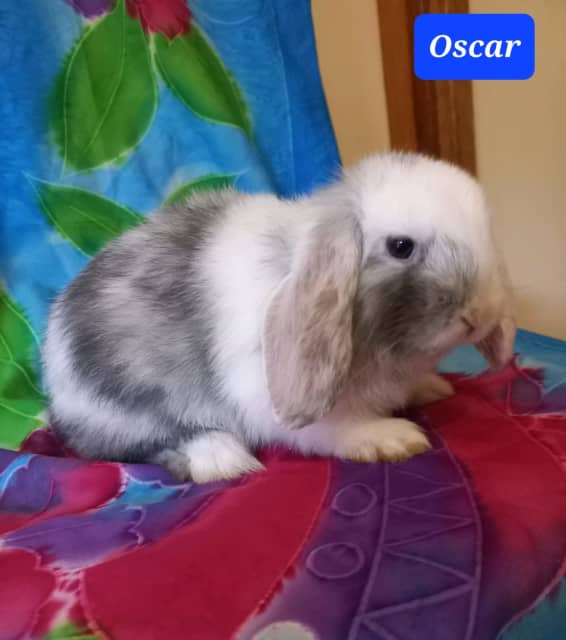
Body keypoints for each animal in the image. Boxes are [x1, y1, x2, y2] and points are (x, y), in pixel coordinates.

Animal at [43, 152, 516, 483]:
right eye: (401, 246)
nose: (479, 315)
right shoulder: (276, 397)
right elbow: (336, 429)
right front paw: (391, 438)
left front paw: (431, 387)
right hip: (126, 408)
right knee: (144, 443)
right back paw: (222, 458)